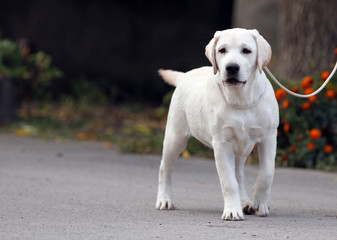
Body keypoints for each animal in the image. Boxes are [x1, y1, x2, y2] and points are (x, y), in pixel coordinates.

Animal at [155, 27, 278, 220]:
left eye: (246, 51)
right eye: (222, 50)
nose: (232, 67)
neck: (240, 98)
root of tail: (185, 75)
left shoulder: (269, 138)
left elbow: (267, 173)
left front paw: (261, 203)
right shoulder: (222, 144)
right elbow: (228, 181)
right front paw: (232, 210)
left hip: (240, 149)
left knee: (239, 175)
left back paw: (245, 202)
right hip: (176, 137)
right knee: (164, 167)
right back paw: (164, 199)